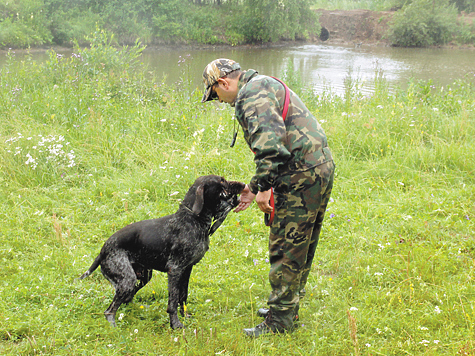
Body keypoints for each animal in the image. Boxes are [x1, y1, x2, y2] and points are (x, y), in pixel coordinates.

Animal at [79, 177, 245, 330]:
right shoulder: (175, 270)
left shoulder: (187, 269)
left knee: (127, 300)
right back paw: (113, 326)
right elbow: (173, 302)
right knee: (110, 310)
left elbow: (183, 296)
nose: (243, 185)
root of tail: (102, 251)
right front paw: (176, 325)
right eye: (222, 182)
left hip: (143, 277)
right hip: (127, 280)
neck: (193, 219)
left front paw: (185, 316)